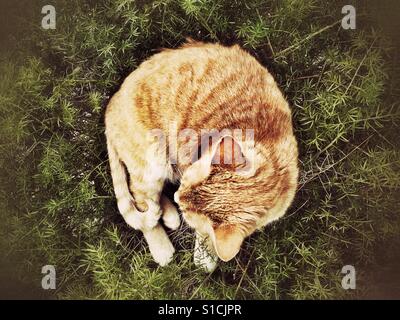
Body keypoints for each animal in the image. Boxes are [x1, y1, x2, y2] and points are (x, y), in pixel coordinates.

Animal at [104, 38, 298, 272]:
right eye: (183, 184)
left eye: (187, 210)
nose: (177, 197)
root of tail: (113, 100)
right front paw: (205, 257)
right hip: (152, 162)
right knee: (141, 199)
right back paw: (161, 247)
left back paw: (169, 215)